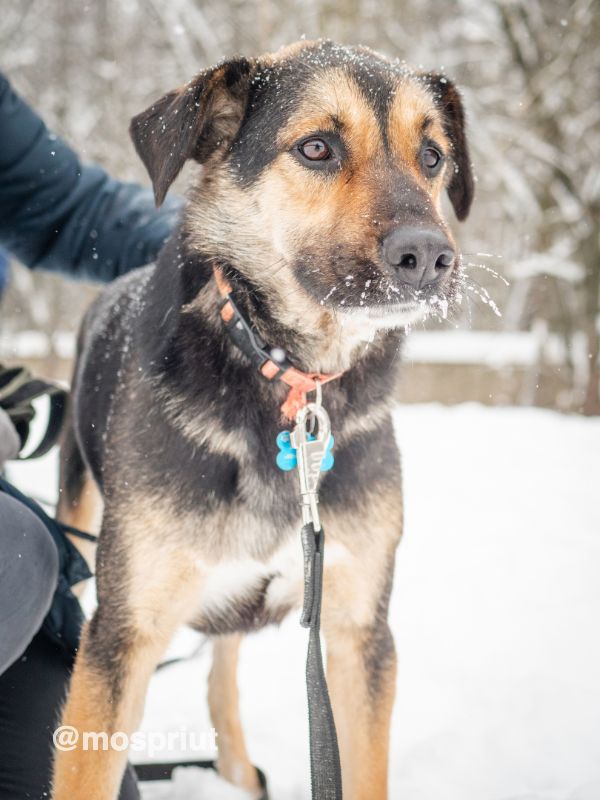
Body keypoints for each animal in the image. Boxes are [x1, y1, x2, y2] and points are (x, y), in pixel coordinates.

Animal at [52, 39, 474, 800]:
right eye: (316, 148)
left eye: (433, 157)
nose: (429, 255)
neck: (291, 378)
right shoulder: (122, 635)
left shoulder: (359, 632)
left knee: (222, 673)